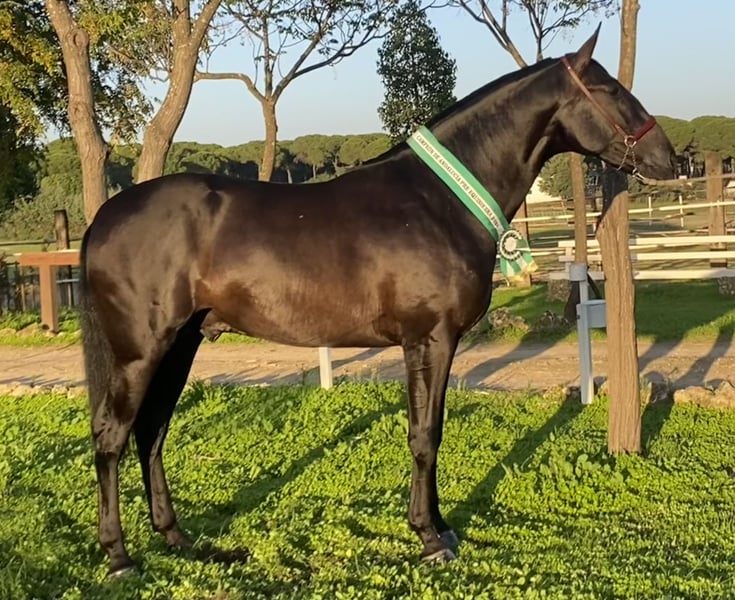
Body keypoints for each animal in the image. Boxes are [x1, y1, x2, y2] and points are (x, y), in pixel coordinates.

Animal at [78, 28, 676, 575]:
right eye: (611, 89)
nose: (668, 159)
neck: (439, 201)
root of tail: (103, 220)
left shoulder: (433, 343)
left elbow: (433, 429)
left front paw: (441, 527)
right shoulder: (429, 338)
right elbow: (424, 434)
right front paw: (429, 537)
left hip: (181, 345)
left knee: (152, 432)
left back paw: (177, 538)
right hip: (141, 351)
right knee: (112, 435)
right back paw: (119, 555)